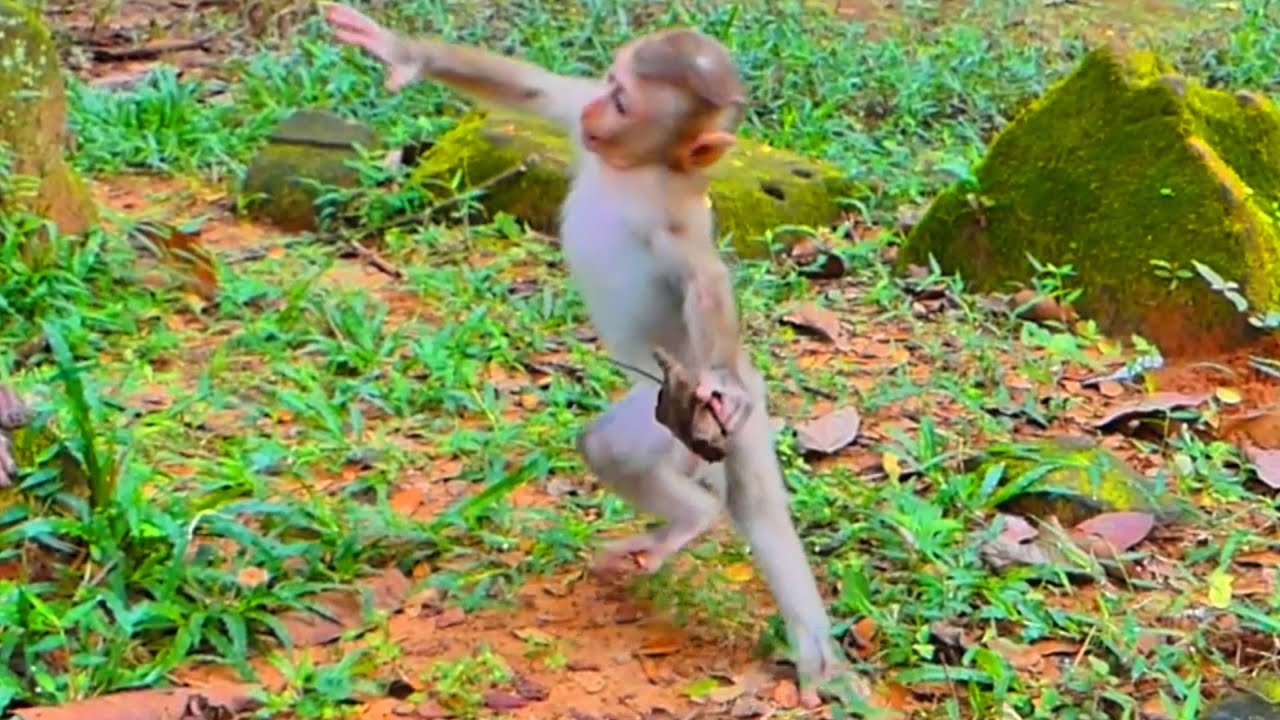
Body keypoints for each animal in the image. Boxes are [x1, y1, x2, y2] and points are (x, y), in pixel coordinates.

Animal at [322, 4, 865, 706]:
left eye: (626, 102)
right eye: (608, 84)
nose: (597, 111)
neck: (633, 169)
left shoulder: (672, 222)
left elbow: (704, 279)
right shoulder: (580, 127)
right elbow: (536, 93)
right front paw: (401, 51)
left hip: (673, 405)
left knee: (636, 452)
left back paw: (696, 515)